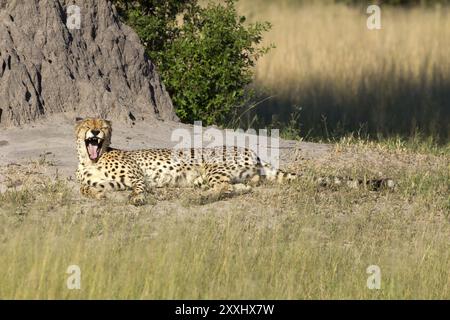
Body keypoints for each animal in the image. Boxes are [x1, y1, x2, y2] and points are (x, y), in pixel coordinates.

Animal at [75, 117, 298, 205]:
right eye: (87, 124)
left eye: (102, 127)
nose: (95, 131)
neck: (92, 160)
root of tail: (252, 151)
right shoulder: (110, 182)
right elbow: (84, 188)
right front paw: (98, 194)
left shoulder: (137, 175)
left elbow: (138, 187)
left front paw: (137, 198)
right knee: (240, 186)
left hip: (212, 166)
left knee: (223, 186)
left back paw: (200, 198)